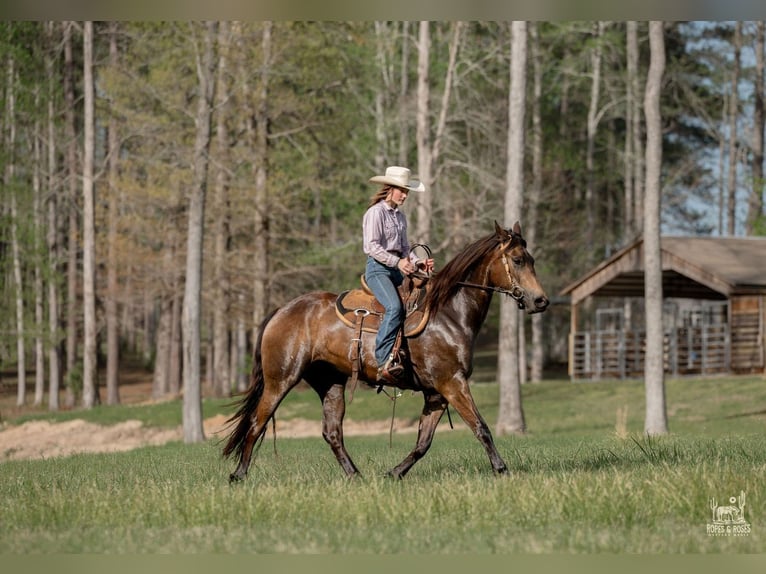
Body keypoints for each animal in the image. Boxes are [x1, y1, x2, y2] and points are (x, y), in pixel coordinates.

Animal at [223, 221, 549, 481]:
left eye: (532, 259)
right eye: (518, 260)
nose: (540, 301)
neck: (448, 314)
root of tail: (281, 311)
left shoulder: (437, 393)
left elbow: (423, 443)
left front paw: (393, 473)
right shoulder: (452, 383)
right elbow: (481, 427)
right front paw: (501, 469)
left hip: (331, 383)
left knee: (332, 433)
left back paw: (355, 476)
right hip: (281, 380)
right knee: (256, 423)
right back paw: (238, 475)